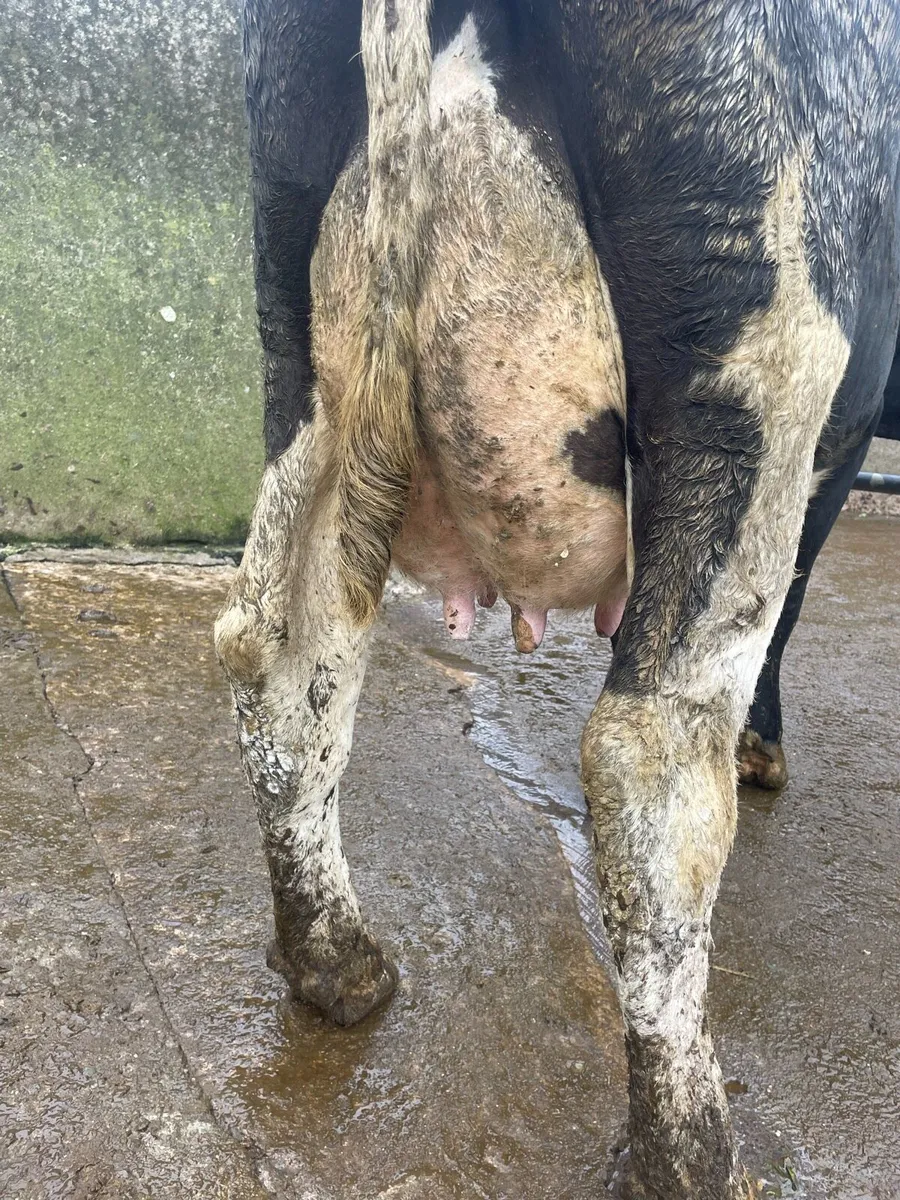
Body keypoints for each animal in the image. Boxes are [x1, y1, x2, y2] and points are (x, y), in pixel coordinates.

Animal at [215, 2, 900, 1197]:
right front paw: (764, 749)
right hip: (757, 337)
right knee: (650, 757)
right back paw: (691, 1157)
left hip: (299, 324)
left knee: (281, 654)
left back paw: (338, 969)